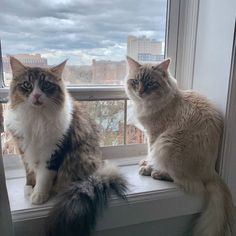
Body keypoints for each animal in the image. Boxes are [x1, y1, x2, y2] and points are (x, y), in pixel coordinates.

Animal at [5, 56, 127, 236]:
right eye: (27, 85)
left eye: (46, 85)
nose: (36, 95)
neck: (36, 118)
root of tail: (99, 170)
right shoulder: (25, 150)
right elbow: (30, 172)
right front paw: (30, 187)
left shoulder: (53, 152)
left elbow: (43, 176)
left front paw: (39, 194)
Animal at [125, 56, 232, 236]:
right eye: (136, 82)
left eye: (151, 84)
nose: (140, 92)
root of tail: (212, 172)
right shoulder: (150, 135)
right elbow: (148, 154)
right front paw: (144, 162)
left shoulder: (154, 135)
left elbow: (150, 153)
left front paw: (147, 167)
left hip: (166, 144)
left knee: (190, 183)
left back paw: (156, 173)